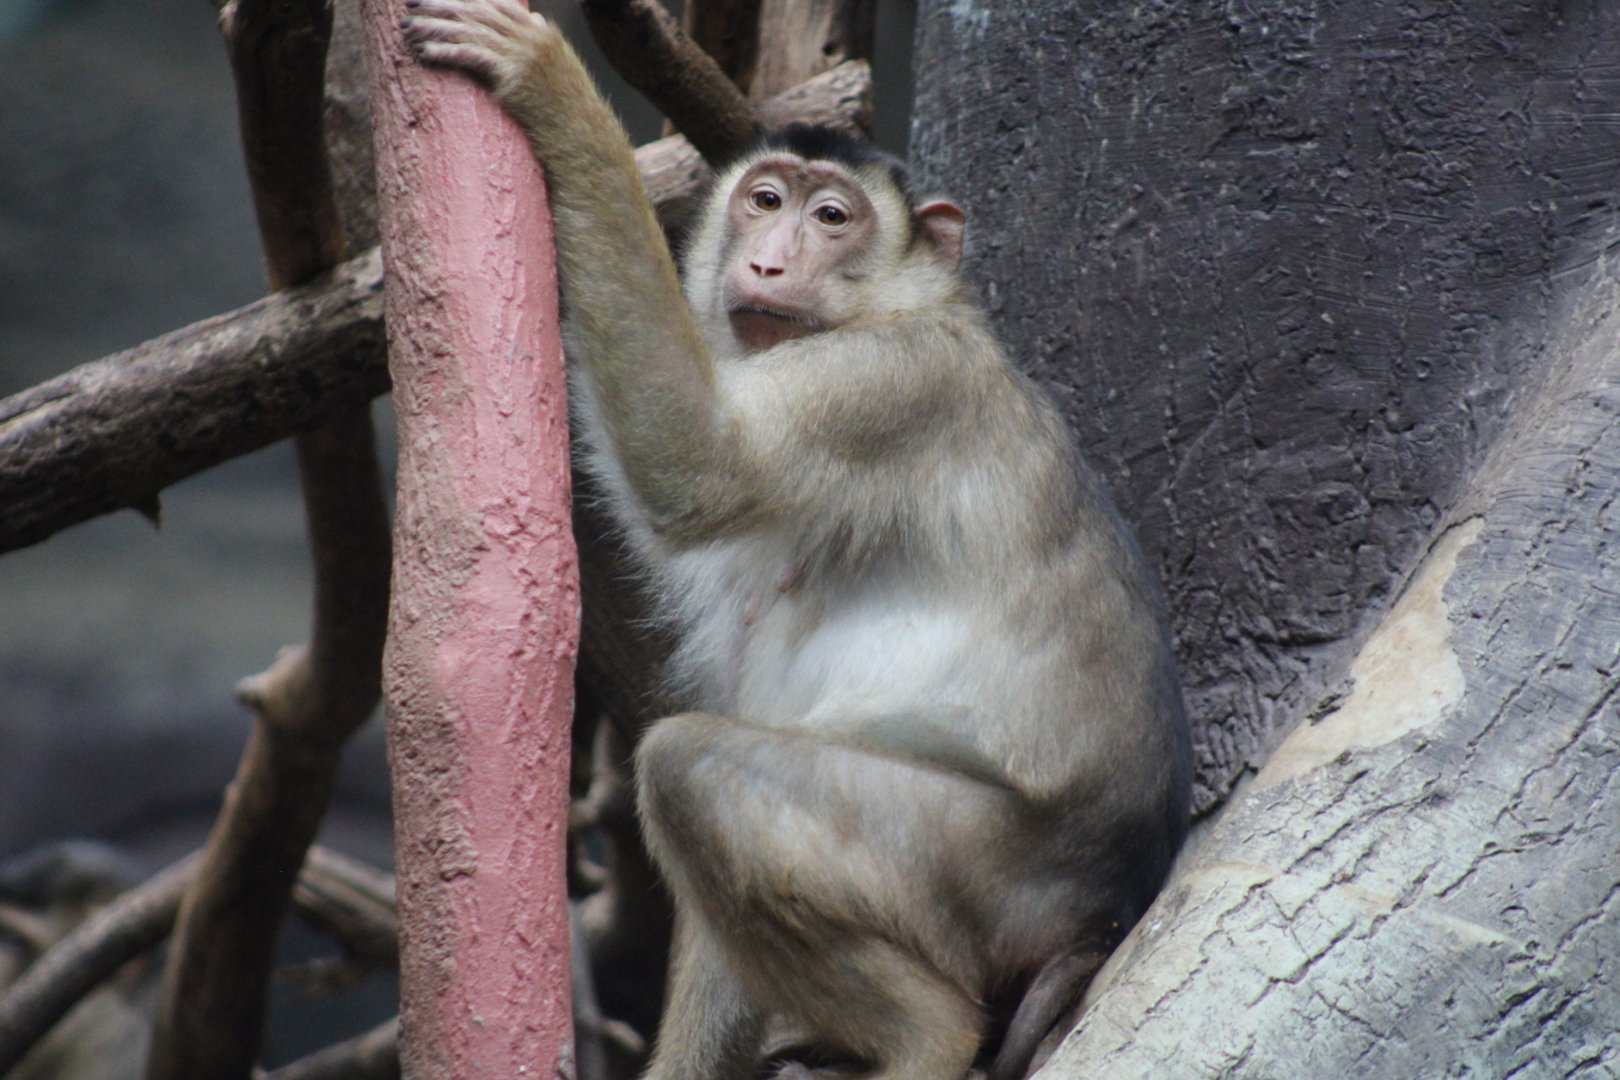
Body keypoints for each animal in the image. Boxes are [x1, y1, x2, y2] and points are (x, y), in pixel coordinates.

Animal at [400, 4, 1192, 1077]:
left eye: (832, 219)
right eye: (765, 199)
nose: (769, 260)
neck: (900, 305)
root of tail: (1112, 904)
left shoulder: (885, 383)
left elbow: (700, 461)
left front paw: (553, 84)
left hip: (980, 872)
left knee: (691, 770)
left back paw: (927, 1035)